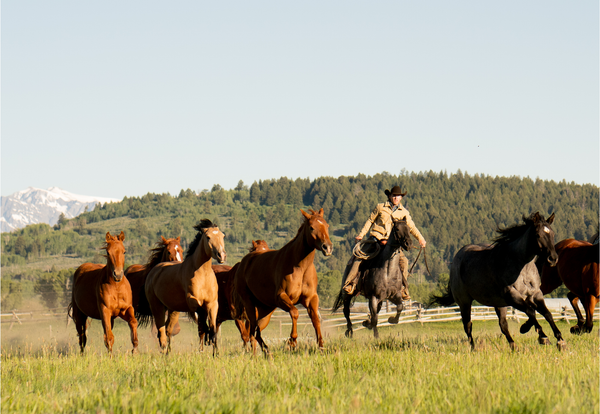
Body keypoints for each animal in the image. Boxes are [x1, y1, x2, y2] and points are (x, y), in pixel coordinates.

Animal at [137, 220, 226, 356]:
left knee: (168, 330)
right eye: (208, 237)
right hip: (157, 307)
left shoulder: (212, 304)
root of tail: (153, 272)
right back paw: (164, 352)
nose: (221, 255)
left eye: (222, 236)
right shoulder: (192, 301)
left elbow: (213, 329)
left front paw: (215, 352)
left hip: (173, 309)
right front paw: (205, 343)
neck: (202, 274)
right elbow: (202, 323)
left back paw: (168, 352)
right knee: (161, 332)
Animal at [231, 210, 332, 356]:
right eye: (312, 227)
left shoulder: (311, 298)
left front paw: (321, 347)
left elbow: (316, 320)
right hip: (249, 303)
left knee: (256, 330)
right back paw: (258, 354)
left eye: (327, 226)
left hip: (266, 310)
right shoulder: (281, 297)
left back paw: (266, 352)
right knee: (253, 331)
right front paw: (292, 341)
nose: (327, 247)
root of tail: (243, 263)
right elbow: (295, 312)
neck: (299, 267)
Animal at [428, 212, 564, 350]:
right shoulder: (512, 296)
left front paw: (560, 340)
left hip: (499, 304)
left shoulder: (535, 294)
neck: (521, 267)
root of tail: (456, 259)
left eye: (552, 234)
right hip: (464, 302)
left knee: (503, 325)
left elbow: (546, 314)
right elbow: (531, 312)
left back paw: (514, 346)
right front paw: (542, 336)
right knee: (468, 326)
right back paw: (474, 349)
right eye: (538, 235)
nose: (553, 259)